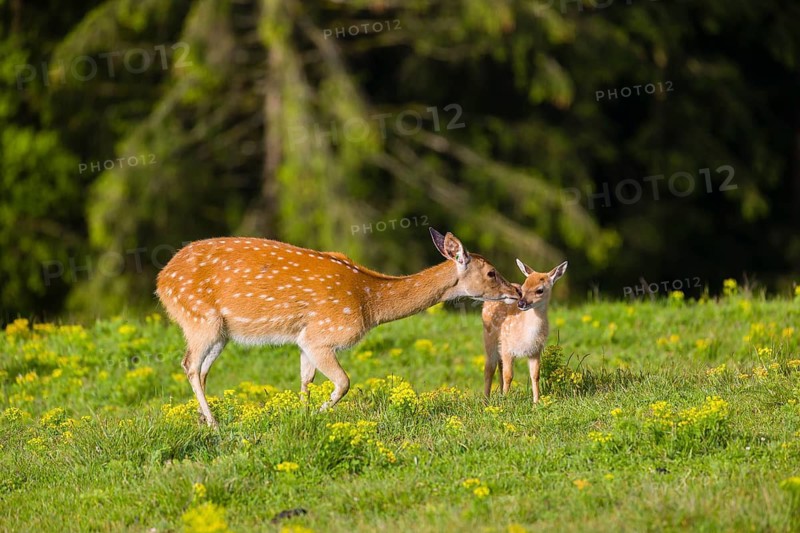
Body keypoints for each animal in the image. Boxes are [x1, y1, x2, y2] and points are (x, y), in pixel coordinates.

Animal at [156, 228, 520, 427]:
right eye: (491, 272)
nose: (517, 291)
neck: (367, 302)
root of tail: (161, 281)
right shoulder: (324, 334)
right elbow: (344, 383)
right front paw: (318, 414)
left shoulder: (304, 337)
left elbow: (305, 380)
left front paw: (301, 416)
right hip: (200, 318)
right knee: (189, 364)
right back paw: (213, 423)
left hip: (220, 332)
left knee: (202, 369)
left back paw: (203, 419)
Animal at [481, 259, 568, 404]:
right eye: (523, 288)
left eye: (540, 290)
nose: (521, 304)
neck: (526, 334)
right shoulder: (507, 347)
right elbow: (508, 376)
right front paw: (505, 402)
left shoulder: (535, 350)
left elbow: (535, 375)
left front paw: (536, 402)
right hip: (489, 338)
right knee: (489, 368)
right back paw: (486, 401)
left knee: (499, 366)